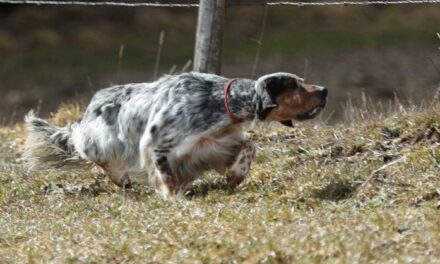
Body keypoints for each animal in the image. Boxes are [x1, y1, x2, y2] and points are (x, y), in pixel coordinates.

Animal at [24, 72, 326, 198]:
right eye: (294, 85)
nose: (324, 90)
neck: (219, 101)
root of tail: (91, 107)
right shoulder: (157, 145)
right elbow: (166, 175)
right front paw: (173, 198)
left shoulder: (217, 142)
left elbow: (249, 146)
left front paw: (236, 175)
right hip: (101, 141)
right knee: (96, 155)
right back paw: (120, 178)